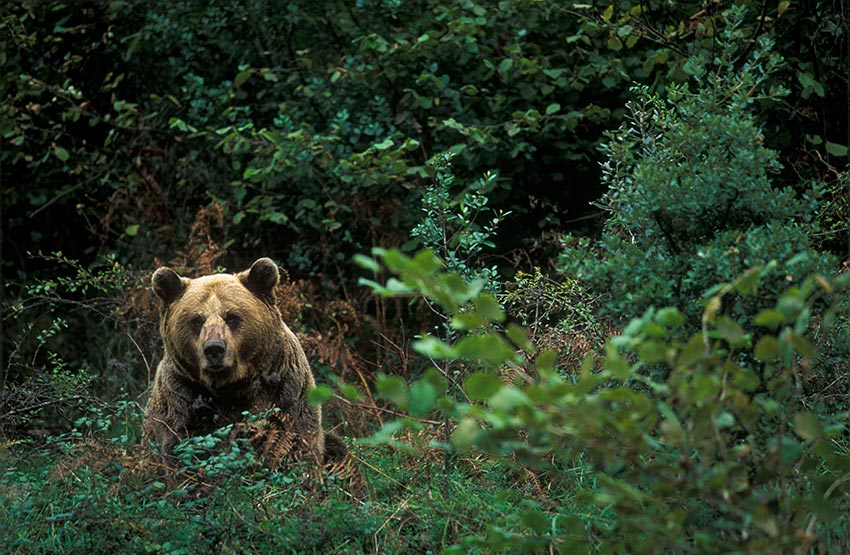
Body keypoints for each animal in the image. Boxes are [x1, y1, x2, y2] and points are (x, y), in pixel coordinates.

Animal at [144, 258, 356, 486]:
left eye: (232, 317)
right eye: (197, 320)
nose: (214, 349)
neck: (231, 385)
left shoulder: (284, 392)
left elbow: (293, 445)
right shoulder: (184, 396)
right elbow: (184, 450)